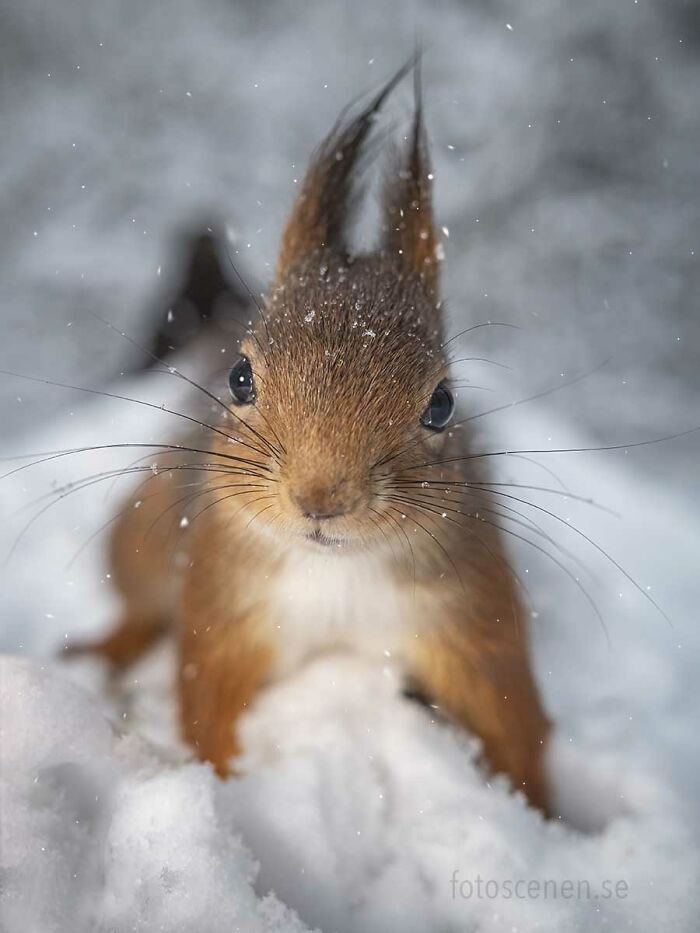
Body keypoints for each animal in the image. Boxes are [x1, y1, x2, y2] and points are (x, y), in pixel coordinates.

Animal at [69, 63, 552, 808]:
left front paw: (545, 817)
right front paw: (224, 792)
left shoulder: (473, 614)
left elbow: (514, 724)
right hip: (145, 534)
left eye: (442, 405)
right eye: (240, 377)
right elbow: (207, 710)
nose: (321, 498)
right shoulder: (223, 611)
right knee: (139, 606)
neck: (339, 574)